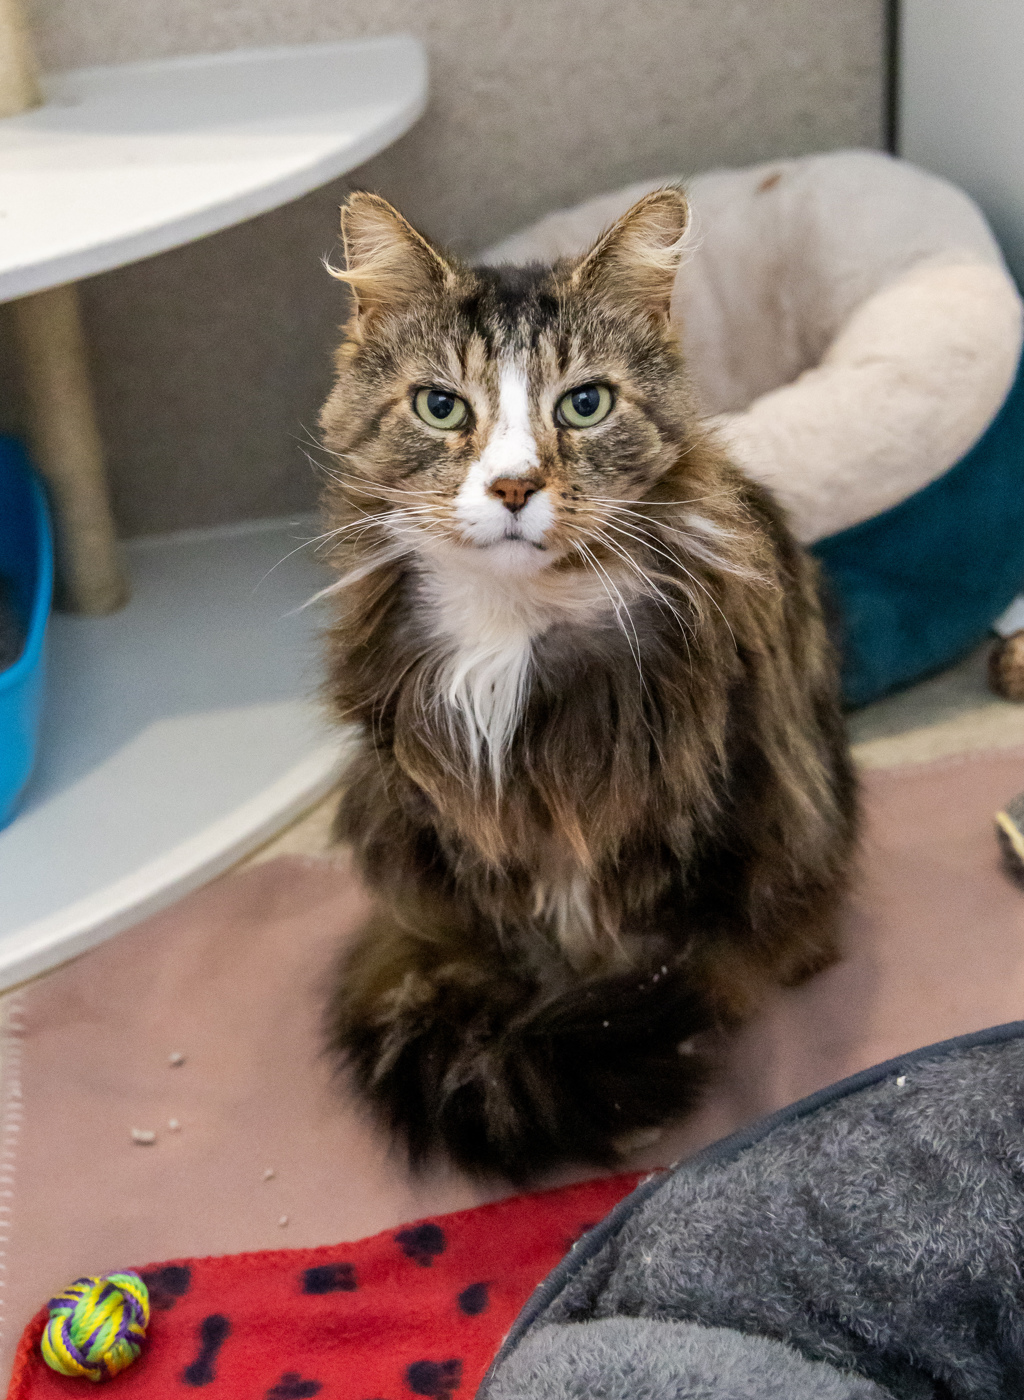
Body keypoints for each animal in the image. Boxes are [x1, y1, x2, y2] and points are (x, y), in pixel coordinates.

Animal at [317, 187, 857, 1181]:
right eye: (442, 408)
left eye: (586, 404)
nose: (514, 486)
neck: (516, 630)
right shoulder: (473, 831)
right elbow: (547, 966)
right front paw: (576, 1052)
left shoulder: (686, 812)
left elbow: (655, 966)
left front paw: (636, 1055)